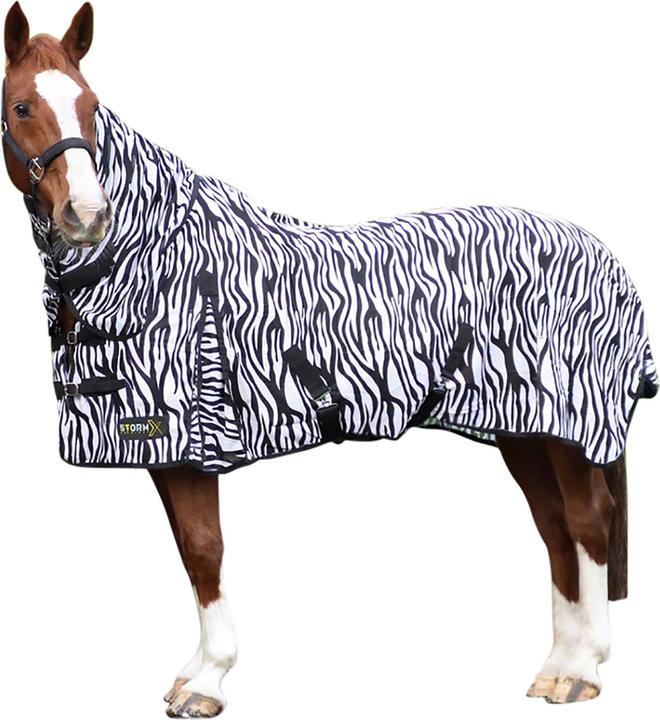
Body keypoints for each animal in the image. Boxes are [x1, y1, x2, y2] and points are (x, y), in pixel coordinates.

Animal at [2, 3, 657, 717]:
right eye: (21, 106)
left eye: (92, 105)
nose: (86, 215)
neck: (156, 254)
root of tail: (605, 255)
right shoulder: (166, 452)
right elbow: (190, 555)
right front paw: (194, 671)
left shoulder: (195, 441)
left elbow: (205, 549)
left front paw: (209, 681)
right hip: (524, 430)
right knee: (555, 526)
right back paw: (556, 666)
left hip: (571, 426)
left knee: (589, 522)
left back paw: (585, 668)